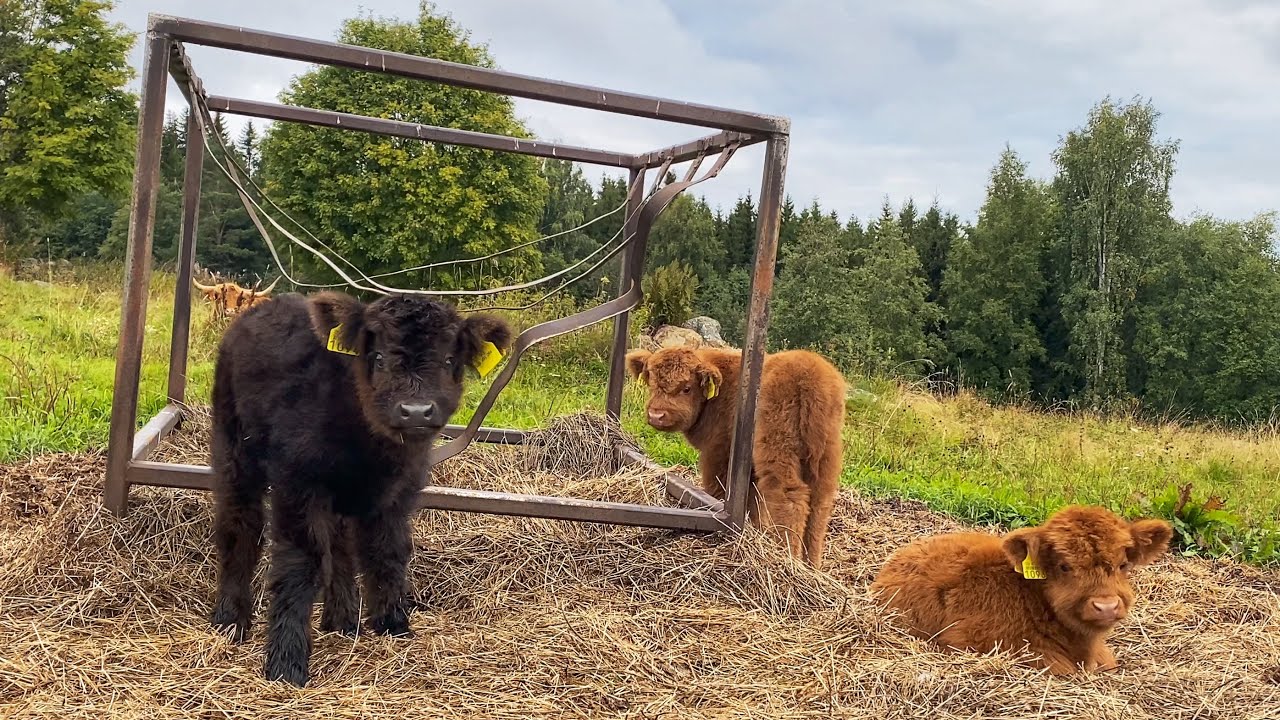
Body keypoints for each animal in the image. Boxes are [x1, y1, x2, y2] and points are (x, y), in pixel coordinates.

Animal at [208, 290, 512, 687]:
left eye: (449, 360)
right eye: (378, 357)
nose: (416, 411)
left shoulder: (400, 491)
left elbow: (387, 550)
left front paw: (393, 625)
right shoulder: (296, 483)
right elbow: (300, 563)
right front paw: (287, 661)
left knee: (339, 544)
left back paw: (342, 620)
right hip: (233, 447)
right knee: (239, 525)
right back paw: (230, 619)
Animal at [625, 346, 846, 568]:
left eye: (687, 388)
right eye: (651, 382)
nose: (656, 415)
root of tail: (811, 371)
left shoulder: (717, 455)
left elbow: (718, 492)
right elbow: (753, 505)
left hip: (779, 451)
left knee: (790, 498)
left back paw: (788, 560)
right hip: (826, 460)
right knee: (819, 505)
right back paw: (812, 566)